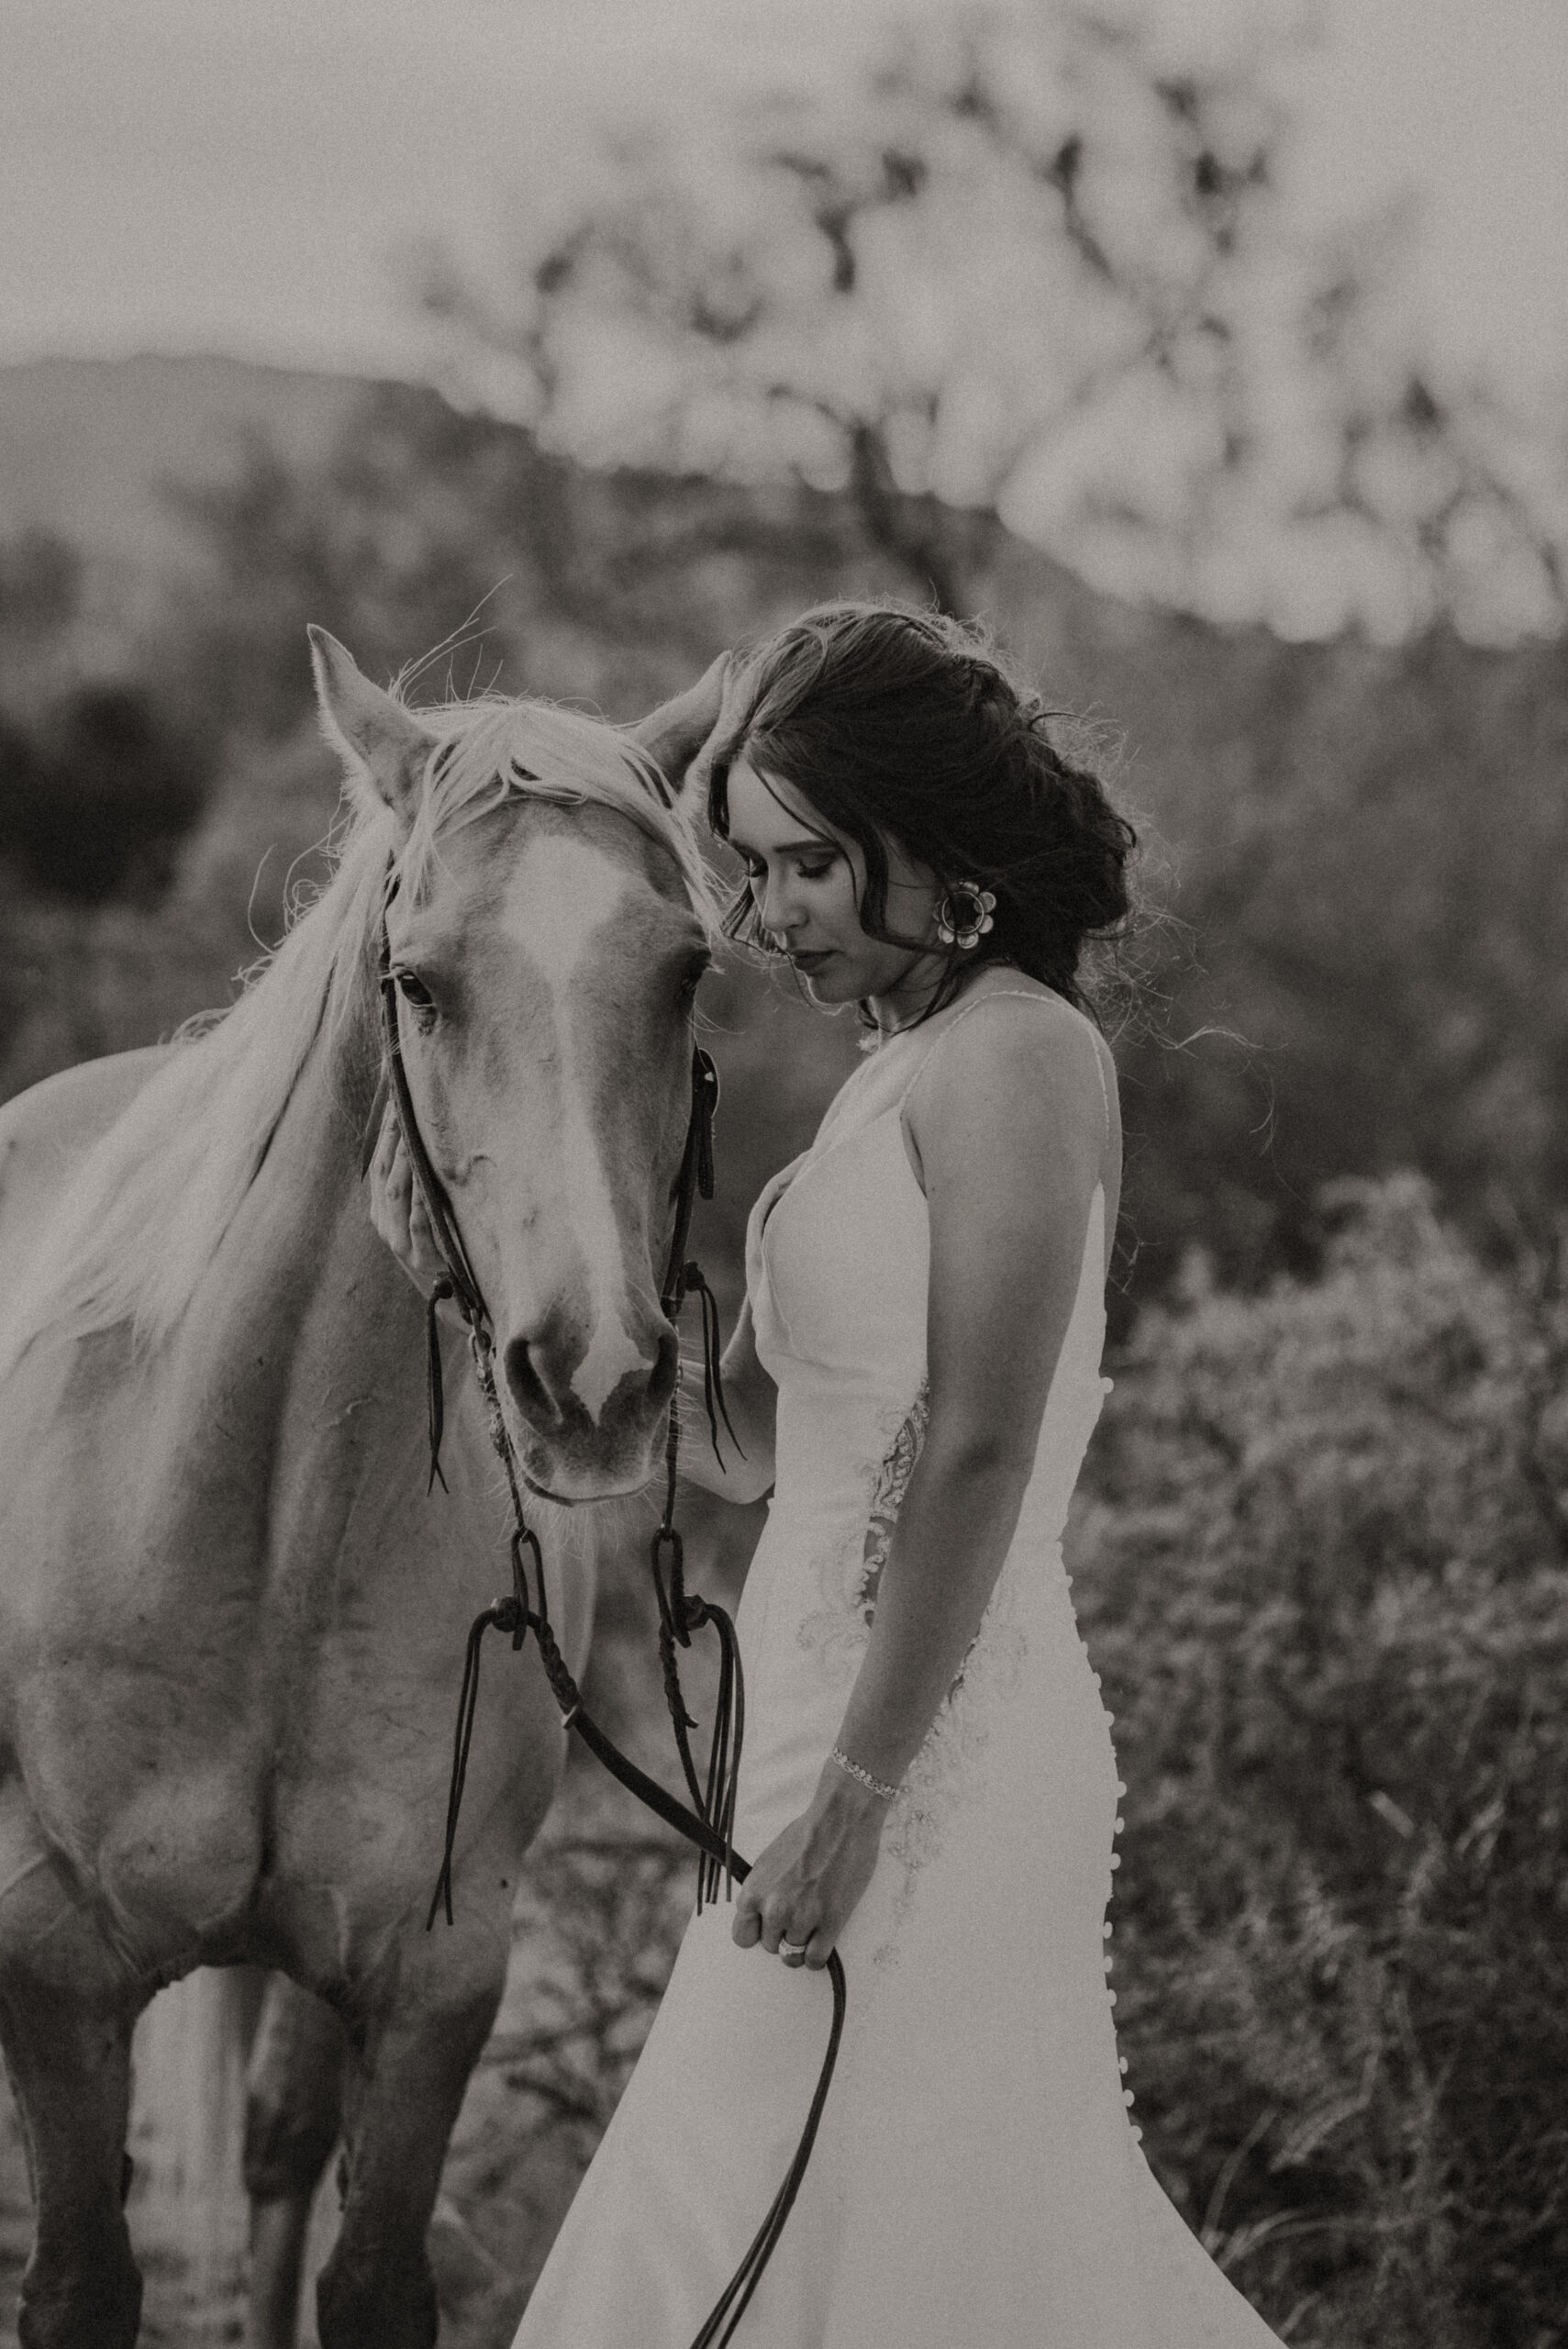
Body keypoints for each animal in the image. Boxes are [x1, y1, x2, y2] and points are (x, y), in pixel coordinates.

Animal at [0, 634, 728, 2339]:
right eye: (421, 985)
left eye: (683, 974)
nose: (592, 1379)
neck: (260, 1510)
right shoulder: (51, 1963)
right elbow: (79, 2280)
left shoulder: (431, 1978)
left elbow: (369, 2273)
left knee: (272, 2148)